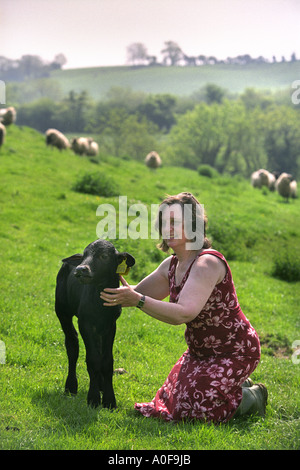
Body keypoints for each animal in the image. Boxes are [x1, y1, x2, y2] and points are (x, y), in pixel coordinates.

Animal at [55, 239, 135, 408]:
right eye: (84, 255)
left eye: (104, 256)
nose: (80, 269)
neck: (100, 304)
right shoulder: (85, 323)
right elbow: (93, 359)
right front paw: (93, 398)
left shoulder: (111, 325)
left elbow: (107, 360)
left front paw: (109, 400)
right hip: (62, 310)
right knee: (72, 345)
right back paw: (71, 386)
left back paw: (100, 385)